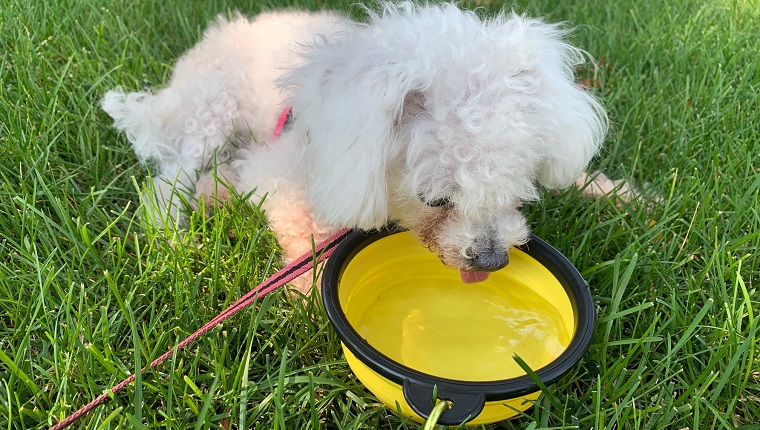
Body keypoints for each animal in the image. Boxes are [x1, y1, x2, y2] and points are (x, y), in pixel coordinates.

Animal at [102, 1, 612, 294]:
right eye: (435, 200)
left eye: (515, 188)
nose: (492, 260)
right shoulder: (284, 171)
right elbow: (301, 228)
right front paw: (308, 289)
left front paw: (612, 192)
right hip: (212, 108)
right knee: (170, 178)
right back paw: (173, 234)